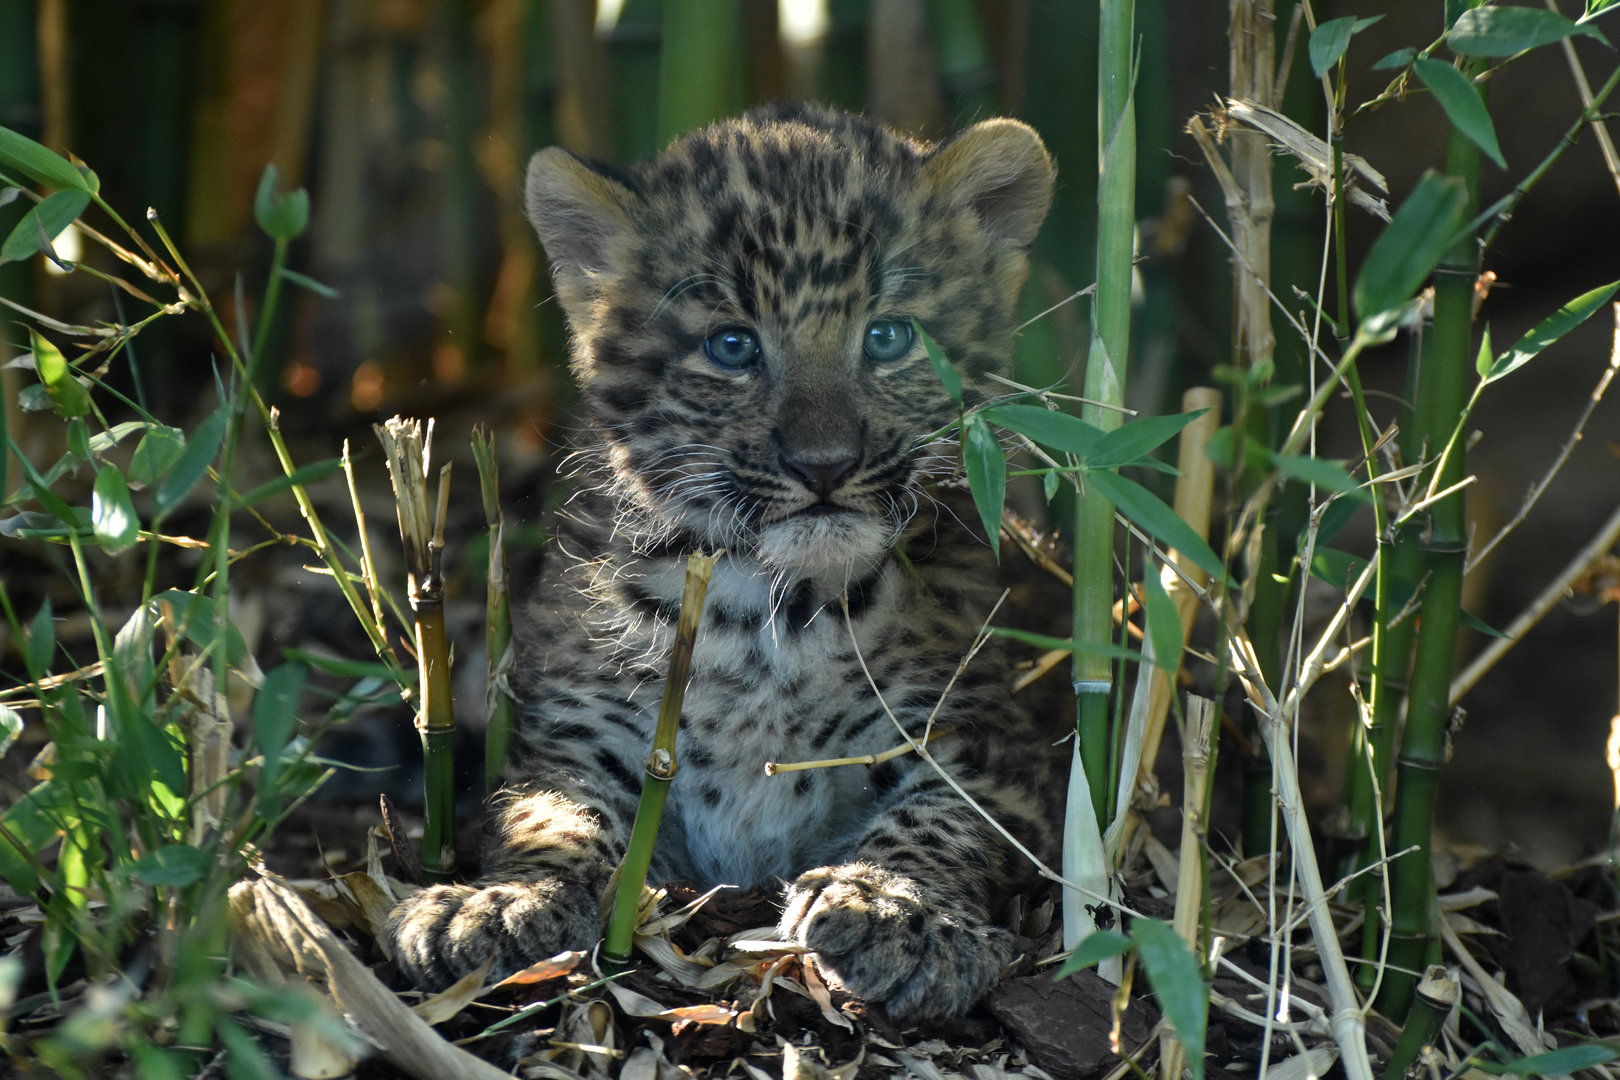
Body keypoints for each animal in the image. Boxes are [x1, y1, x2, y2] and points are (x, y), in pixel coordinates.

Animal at [387, 102, 1063, 1023]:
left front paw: (898, 910)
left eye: (889, 337)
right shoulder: (580, 735)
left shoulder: (982, 740)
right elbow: (547, 814)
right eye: (734, 347)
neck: (767, 611)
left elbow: (944, 822)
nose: (824, 465)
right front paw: (494, 902)